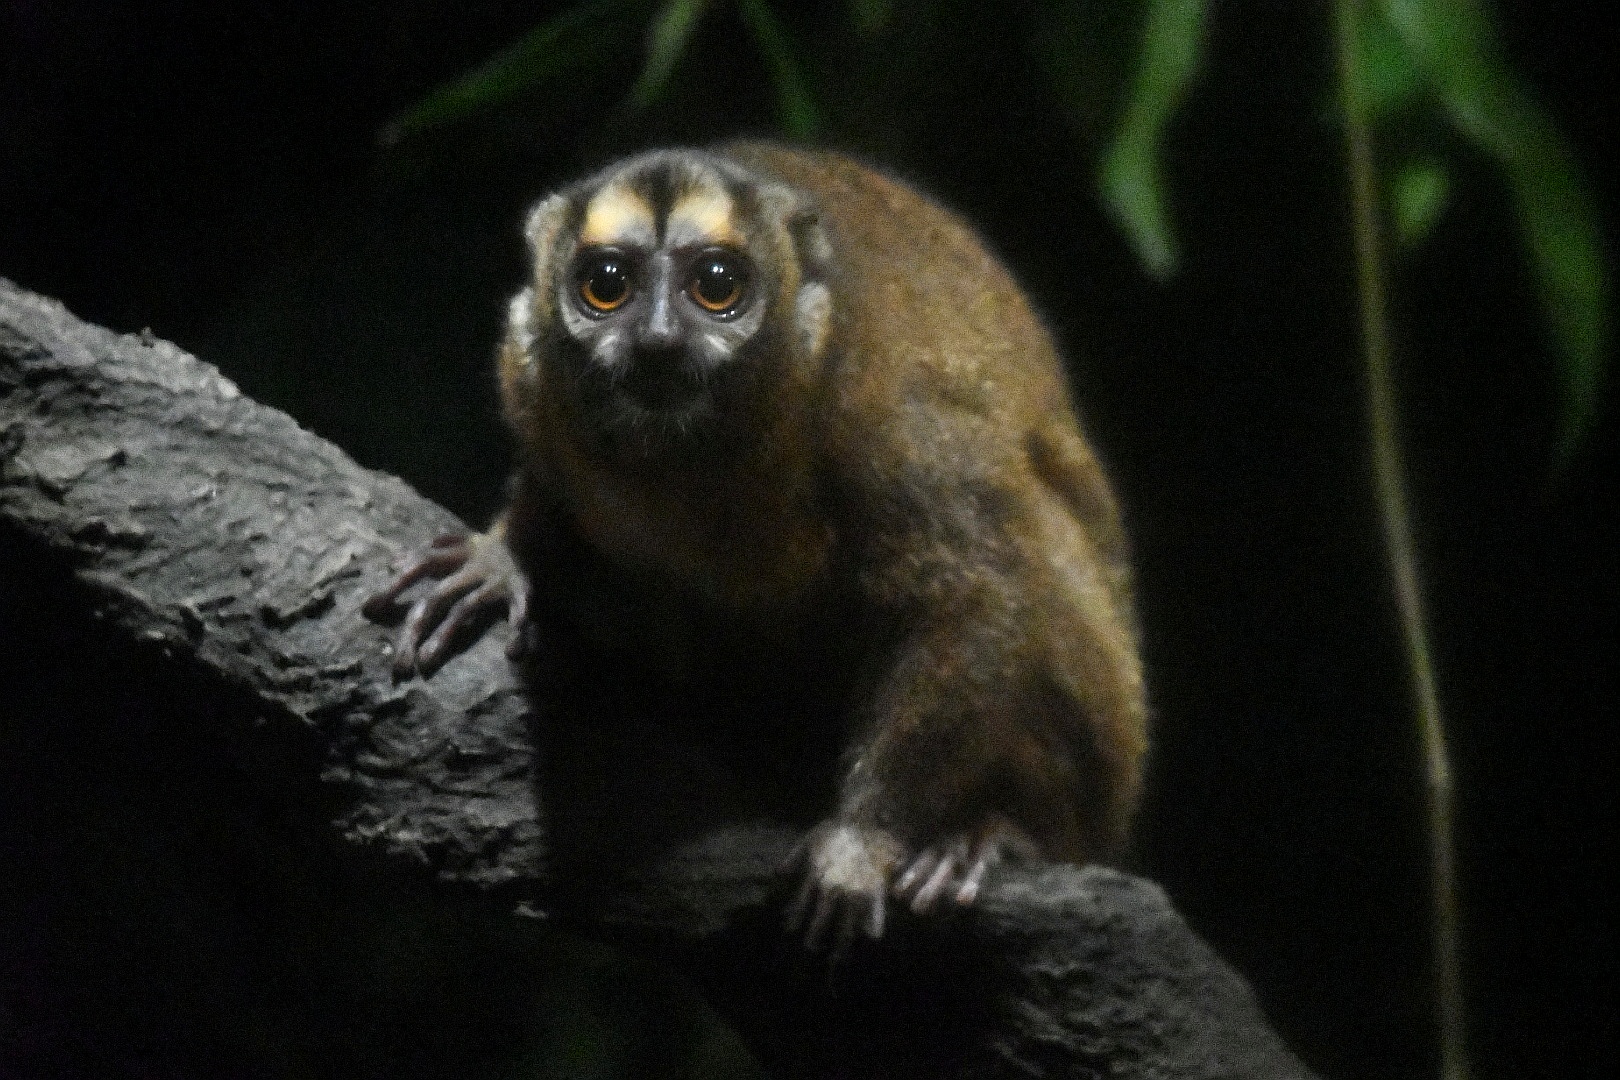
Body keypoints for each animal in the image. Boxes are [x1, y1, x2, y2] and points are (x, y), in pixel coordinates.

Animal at [365, 143, 1148, 953]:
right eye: (606, 284)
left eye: (716, 285)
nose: (658, 341)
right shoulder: (527, 371)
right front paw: (500, 558)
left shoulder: (890, 416)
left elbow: (979, 587)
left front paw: (861, 844)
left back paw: (991, 836)